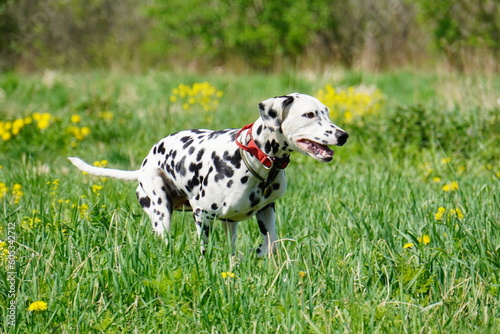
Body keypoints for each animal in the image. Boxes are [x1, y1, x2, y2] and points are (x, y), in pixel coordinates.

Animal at [68, 92, 346, 258]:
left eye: (327, 112)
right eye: (309, 114)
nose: (343, 135)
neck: (253, 157)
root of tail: (144, 165)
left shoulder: (267, 210)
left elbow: (268, 244)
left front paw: (253, 255)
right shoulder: (203, 214)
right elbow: (205, 250)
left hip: (229, 223)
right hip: (160, 211)